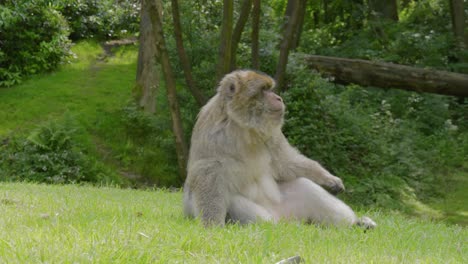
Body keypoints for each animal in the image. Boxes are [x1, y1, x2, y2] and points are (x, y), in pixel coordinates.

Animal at [184, 70, 376, 229]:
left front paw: (328, 178)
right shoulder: (213, 133)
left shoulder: (273, 133)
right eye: (263, 90)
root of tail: (284, 217)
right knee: (239, 205)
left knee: (305, 185)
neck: (244, 127)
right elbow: (208, 172)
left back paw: (356, 225)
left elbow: (285, 162)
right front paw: (212, 225)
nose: (278, 98)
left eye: (270, 89)